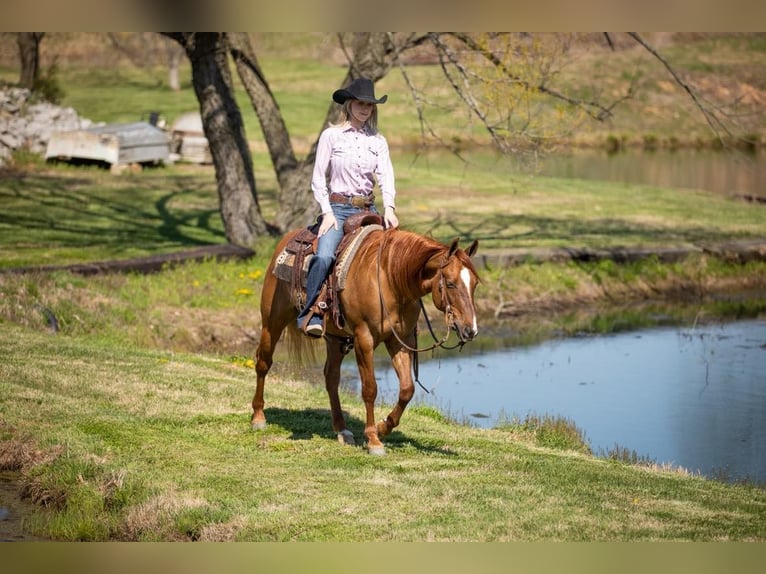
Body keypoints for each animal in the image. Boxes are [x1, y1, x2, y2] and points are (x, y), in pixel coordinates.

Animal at [252, 227, 480, 456]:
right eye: (450, 283)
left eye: (475, 283)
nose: (470, 330)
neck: (390, 281)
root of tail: (289, 237)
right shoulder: (364, 339)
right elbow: (370, 389)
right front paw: (373, 440)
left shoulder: (400, 340)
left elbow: (407, 389)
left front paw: (383, 427)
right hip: (272, 322)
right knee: (263, 363)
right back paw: (258, 417)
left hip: (335, 339)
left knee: (331, 377)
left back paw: (342, 430)